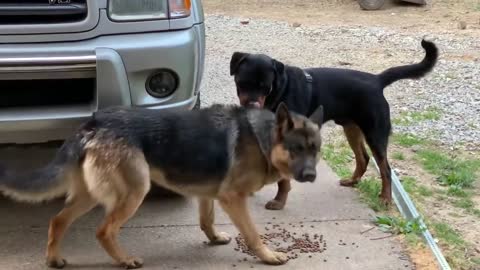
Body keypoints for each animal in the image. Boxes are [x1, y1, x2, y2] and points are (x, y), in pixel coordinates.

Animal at [0, 103, 324, 268]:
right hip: (134, 191)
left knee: (58, 221)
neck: (263, 139)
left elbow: (206, 220)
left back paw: (53, 258)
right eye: (296, 149)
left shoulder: (208, 194)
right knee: (104, 230)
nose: (311, 176)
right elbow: (253, 234)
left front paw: (214, 237)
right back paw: (125, 260)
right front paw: (268, 256)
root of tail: (92, 124)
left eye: (316, 150)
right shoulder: (233, 198)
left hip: (90, 195)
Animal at [231, 39, 436, 209]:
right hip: (352, 128)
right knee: (363, 158)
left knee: (385, 168)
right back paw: (353, 181)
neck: (280, 89)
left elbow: (283, 179)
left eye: (265, 86)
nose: (251, 104)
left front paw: (279, 202)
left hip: (375, 132)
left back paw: (385, 198)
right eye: (242, 83)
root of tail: (376, 80)